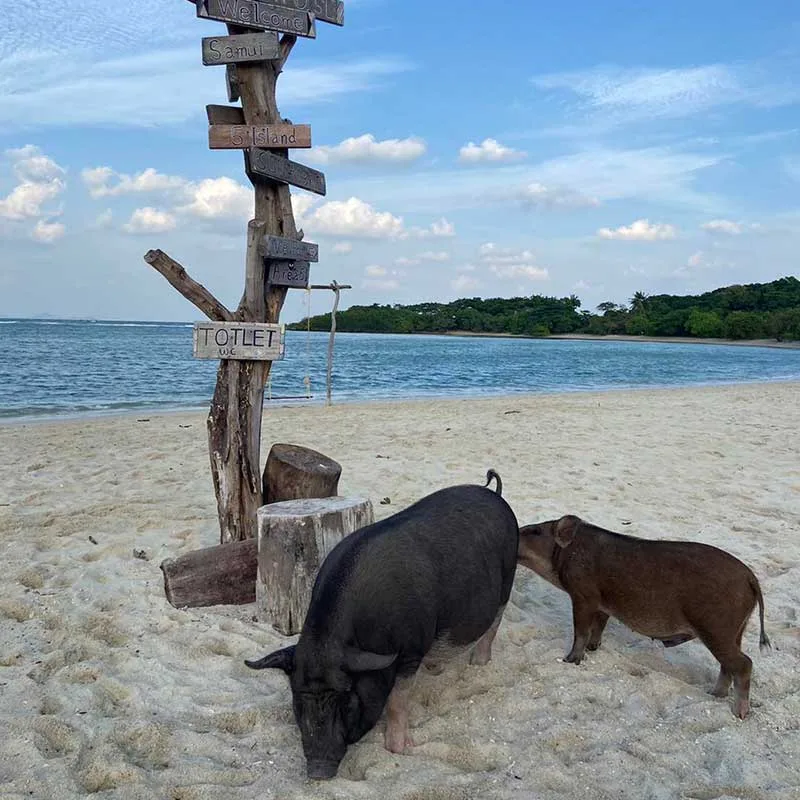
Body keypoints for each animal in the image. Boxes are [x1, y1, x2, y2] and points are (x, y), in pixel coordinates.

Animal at [245, 470, 518, 780]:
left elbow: (398, 699)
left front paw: (398, 749)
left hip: (507, 579)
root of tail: (495, 495)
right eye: (297, 698)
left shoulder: (411, 647)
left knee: (494, 623)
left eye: (346, 697)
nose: (317, 771)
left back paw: (479, 664)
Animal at [518, 515, 770, 719]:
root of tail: (750, 577)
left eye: (535, 531)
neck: (567, 553)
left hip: (715, 629)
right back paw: (713, 694)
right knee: (728, 665)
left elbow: (581, 630)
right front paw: (593, 648)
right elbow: (599, 626)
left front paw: (570, 660)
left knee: (744, 663)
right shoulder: (602, 604)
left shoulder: (583, 596)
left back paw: (739, 713)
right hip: (736, 631)